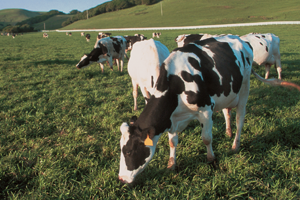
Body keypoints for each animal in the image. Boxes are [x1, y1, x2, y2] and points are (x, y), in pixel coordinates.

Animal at [118, 34, 298, 184]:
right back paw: (228, 131)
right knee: (227, 112)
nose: (121, 178)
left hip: (244, 89)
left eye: (129, 151)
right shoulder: (172, 118)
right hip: (225, 93)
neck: (175, 82)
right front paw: (171, 164)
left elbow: (206, 138)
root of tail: (240, 39)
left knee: (240, 118)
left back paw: (235, 144)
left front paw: (211, 159)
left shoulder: (206, 110)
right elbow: (172, 141)